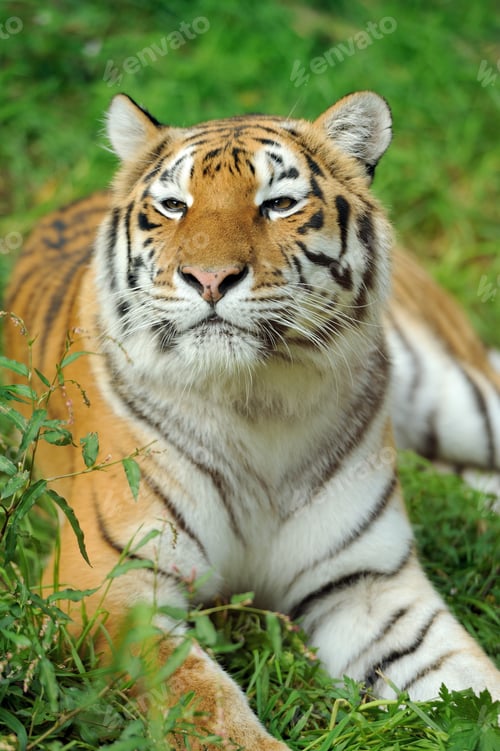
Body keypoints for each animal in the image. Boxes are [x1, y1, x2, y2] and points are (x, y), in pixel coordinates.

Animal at [5, 91, 500, 750]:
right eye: (173, 205)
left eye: (279, 204)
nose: (210, 279)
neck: (256, 400)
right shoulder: (106, 583)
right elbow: (200, 696)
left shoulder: (369, 582)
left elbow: (469, 675)